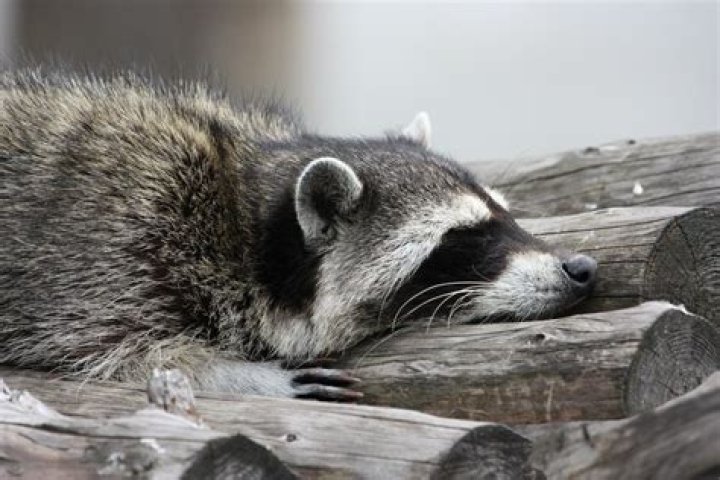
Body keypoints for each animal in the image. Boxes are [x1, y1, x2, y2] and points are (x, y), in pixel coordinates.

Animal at [0, 69, 597, 399]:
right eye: (463, 236)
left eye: (507, 217)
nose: (582, 268)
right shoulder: (115, 252)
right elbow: (116, 359)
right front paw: (236, 375)